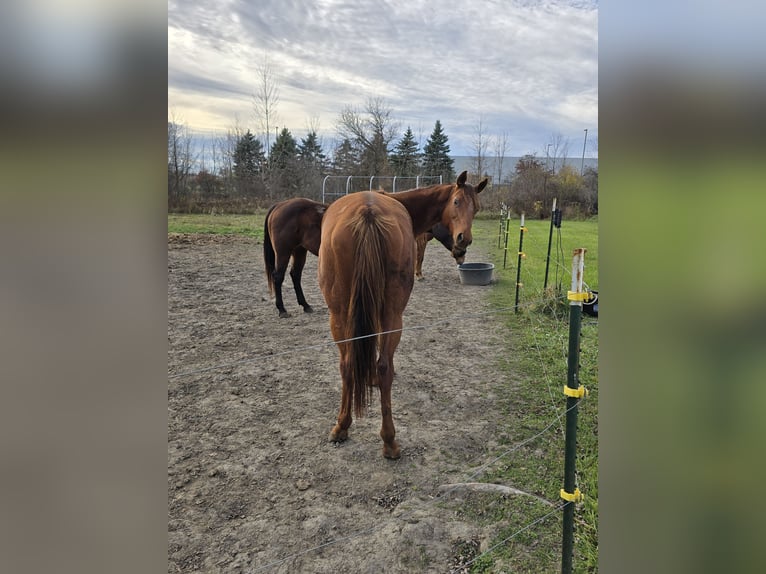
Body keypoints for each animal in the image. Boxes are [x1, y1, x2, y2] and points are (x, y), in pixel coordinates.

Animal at [320, 170, 488, 460]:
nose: (463, 241)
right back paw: (371, 434)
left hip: (350, 315)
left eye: (476, 208)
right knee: (370, 366)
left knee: (358, 364)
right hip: (372, 315)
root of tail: (368, 213)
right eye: (456, 202)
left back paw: (359, 431)